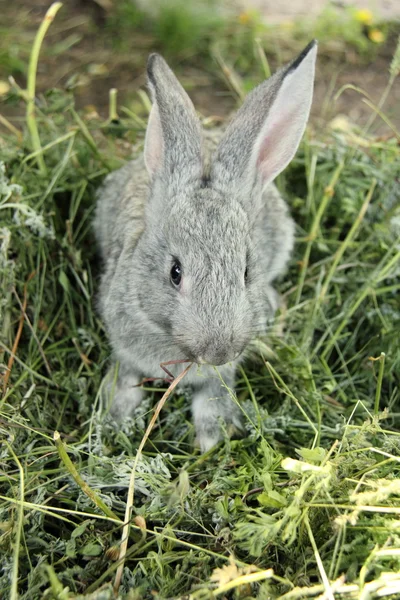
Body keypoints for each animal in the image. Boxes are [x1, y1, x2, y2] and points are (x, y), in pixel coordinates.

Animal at [93, 39, 316, 452]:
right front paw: (114, 420)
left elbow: (213, 394)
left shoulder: (220, 375)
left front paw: (213, 438)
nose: (219, 351)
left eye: (246, 272)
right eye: (175, 272)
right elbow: (125, 377)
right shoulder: (124, 347)